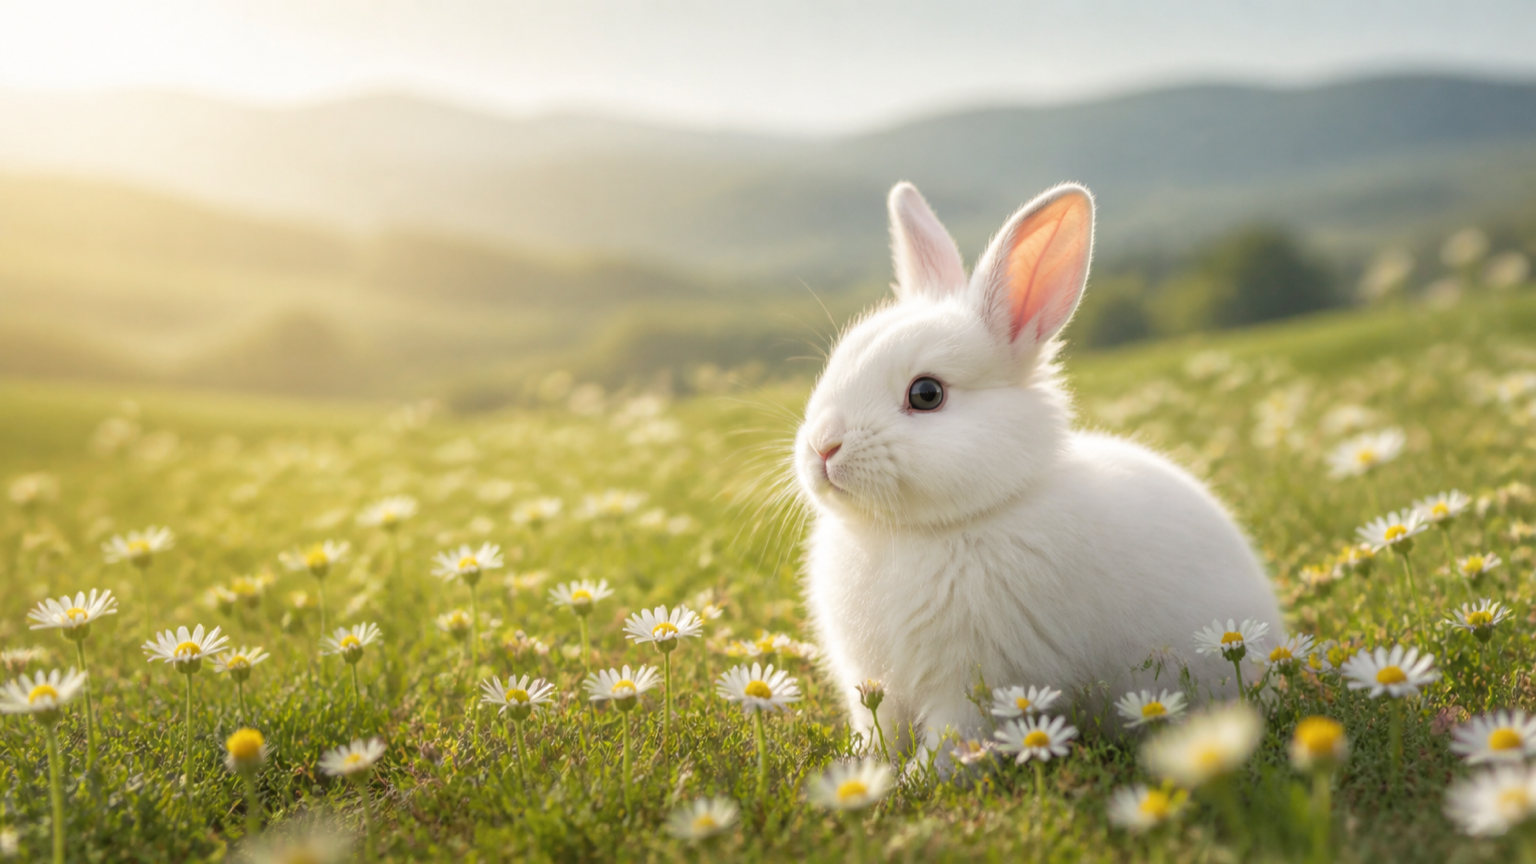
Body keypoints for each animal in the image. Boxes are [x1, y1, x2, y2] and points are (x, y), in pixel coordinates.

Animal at [794, 181, 1283, 753]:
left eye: (926, 394)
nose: (824, 448)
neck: (919, 531)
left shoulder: (977, 687)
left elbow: (949, 745)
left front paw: (913, 774)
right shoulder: (877, 689)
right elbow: (878, 736)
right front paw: (861, 769)